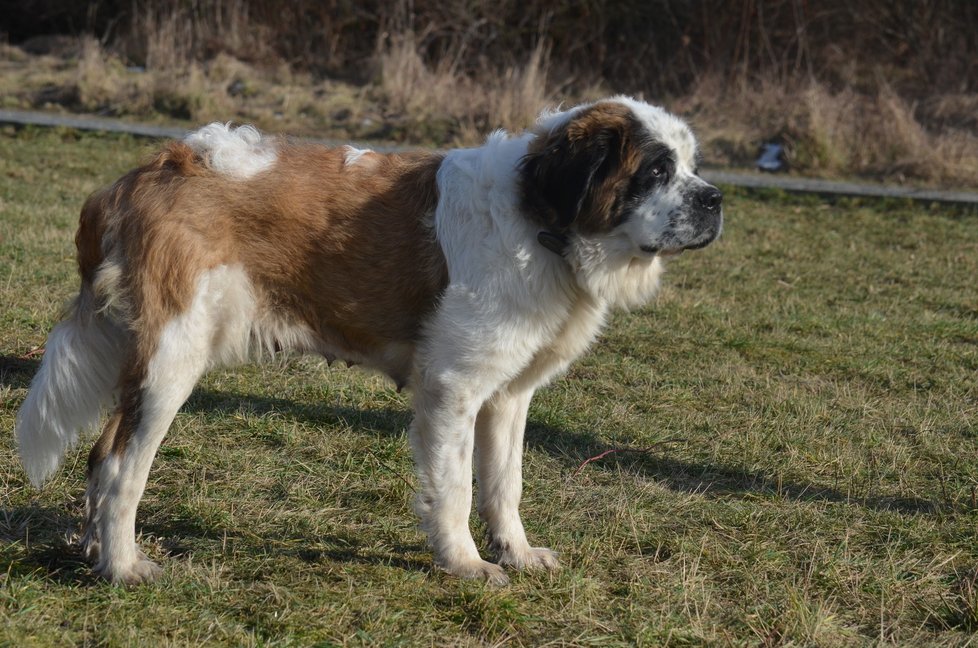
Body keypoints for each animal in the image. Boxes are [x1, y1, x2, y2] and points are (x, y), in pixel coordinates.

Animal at [13, 97, 716, 588]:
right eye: (656, 170)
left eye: (691, 167)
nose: (715, 200)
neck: (540, 222)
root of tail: (144, 173)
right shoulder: (453, 390)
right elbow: (455, 487)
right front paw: (465, 564)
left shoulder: (507, 396)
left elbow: (503, 484)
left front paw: (516, 552)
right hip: (170, 363)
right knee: (120, 465)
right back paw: (122, 567)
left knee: (100, 455)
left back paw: (94, 552)